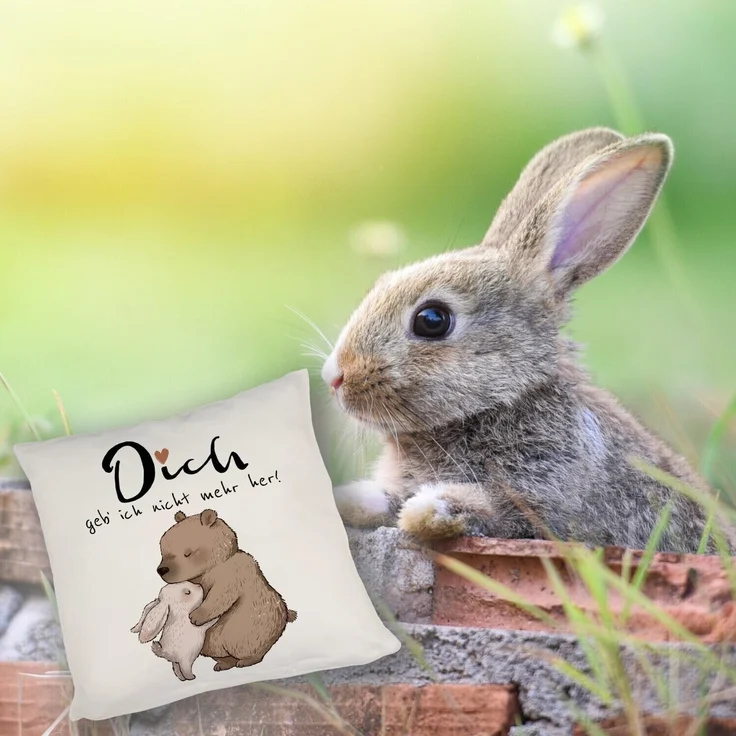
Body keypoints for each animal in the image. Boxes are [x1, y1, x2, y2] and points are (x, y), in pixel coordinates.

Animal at [157, 509, 296, 671]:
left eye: (188, 552)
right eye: (162, 551)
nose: (162, 570)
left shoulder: (233, 573)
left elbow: (220, 594)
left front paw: (195, 616)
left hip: (251, 628)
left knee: (245, 645)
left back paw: (246, 661)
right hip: (215, 637)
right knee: (213, 647)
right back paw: (223, 663)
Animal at [322, 127, 718, 554]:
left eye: (432, 320)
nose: (335, 376)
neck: (503, 400)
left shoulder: (543, 496)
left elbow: (489, 510)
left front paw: (429, 511)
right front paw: (346, 500)